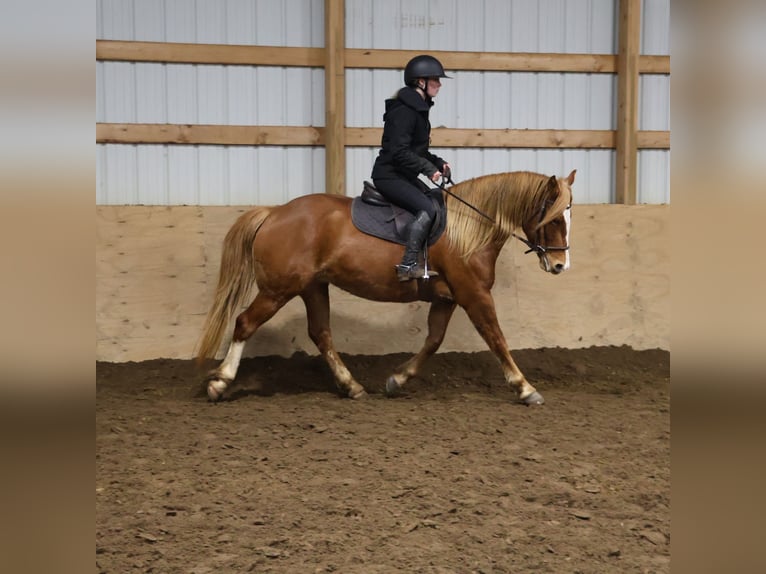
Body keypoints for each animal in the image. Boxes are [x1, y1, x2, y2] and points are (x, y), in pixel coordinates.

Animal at [196, 169, 575, 405]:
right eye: (555, 218)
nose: (560, 265)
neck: (467, 228)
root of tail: (273, 213)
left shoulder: (447, 298)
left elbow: (433, 340)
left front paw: (398, 380)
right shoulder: (474, 294)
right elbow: (497, 339)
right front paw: (525, 388)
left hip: (313, 287)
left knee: (321, 333)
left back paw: (351, 386)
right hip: (279, 289)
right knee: (245, 323)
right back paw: (219, 382)